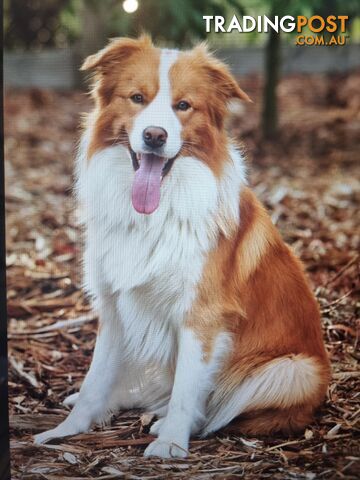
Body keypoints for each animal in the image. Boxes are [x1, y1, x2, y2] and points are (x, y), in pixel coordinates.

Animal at [35, 36, 330, 458]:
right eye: (137, 97)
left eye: (184, 105)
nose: (155, 136)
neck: (157, 211)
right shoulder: (115, 306)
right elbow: (95, 378)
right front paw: (66, 430)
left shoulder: (201, 316)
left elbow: (186, 390)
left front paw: (171, 441)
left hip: (292, 370)